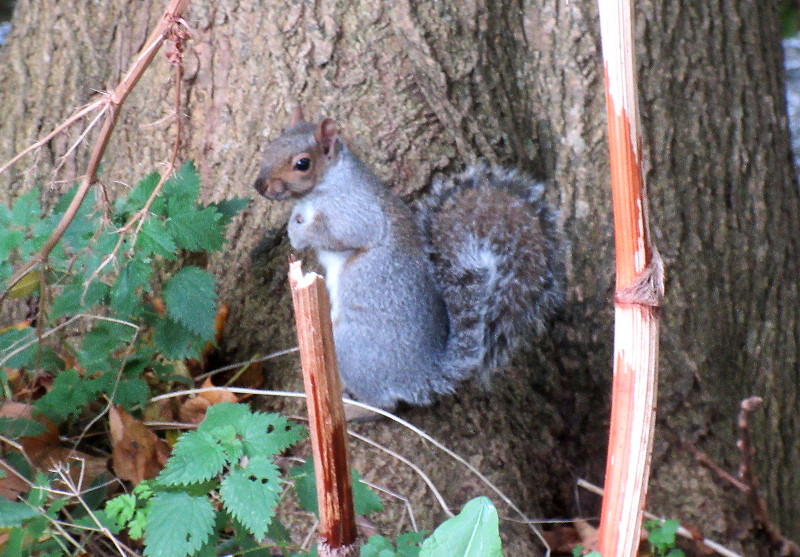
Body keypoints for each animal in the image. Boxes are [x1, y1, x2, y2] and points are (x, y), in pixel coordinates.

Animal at [253, 113, 564, 408]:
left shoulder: (354, 211)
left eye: (302, 163)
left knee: (384, 402)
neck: (330, 181)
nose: (259, 186)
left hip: (348, 345)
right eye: (269, 146)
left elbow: (339, 234)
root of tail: (419, 376)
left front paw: (297, 231)